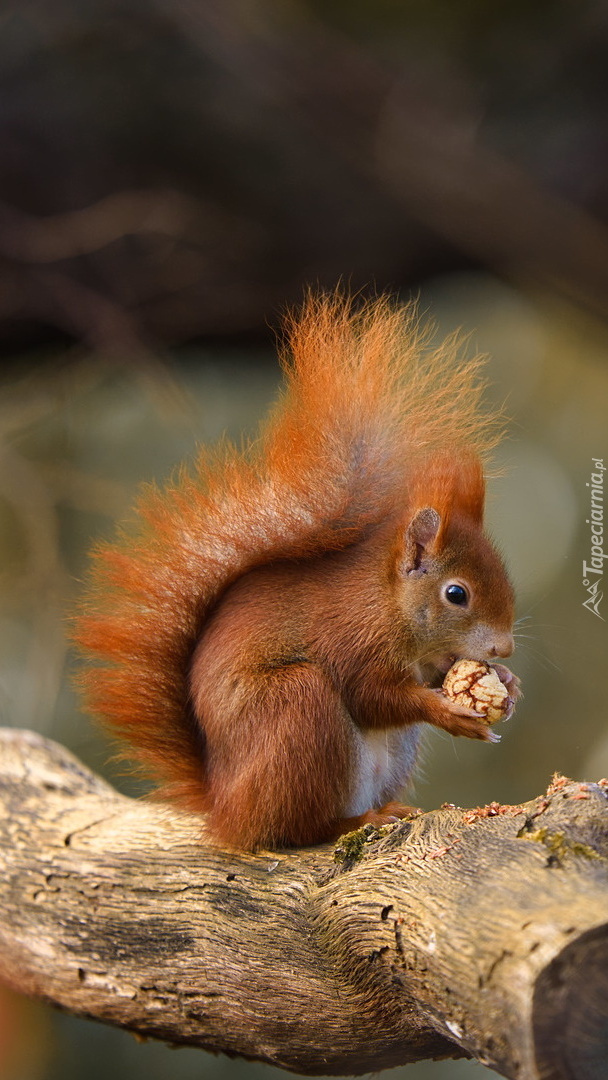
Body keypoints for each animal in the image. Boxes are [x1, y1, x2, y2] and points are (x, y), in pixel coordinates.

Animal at [76, 291, 520, 846]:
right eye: (456, 594)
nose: (504, 648)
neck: (388, 605)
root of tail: (224, 808)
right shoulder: (350, 638)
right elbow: (371, 697)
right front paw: (448, 710)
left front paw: (508, 682)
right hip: (297, 710)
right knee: (296, 829)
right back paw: (355, 820)